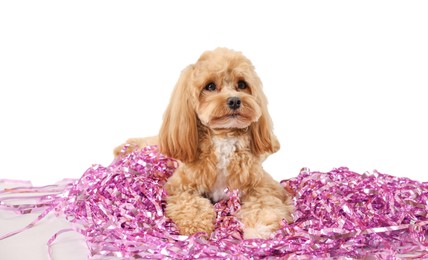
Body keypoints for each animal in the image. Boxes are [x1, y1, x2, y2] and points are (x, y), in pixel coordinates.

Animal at [113, 47, 294, 239]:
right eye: (210, 86)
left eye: (242, 84)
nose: (235, 100)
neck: (224, 138)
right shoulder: (180, 187)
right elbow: (192, 206)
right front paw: (197, 229)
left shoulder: (263, 186)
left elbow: (265, 206)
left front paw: (258, 230)